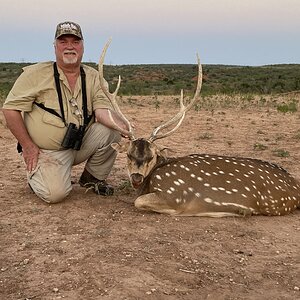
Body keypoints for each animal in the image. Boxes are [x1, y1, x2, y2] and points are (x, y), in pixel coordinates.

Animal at [98, 41, 300, 217]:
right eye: (128, 154)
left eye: (152, 156)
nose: (136, 178)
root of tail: (296, 186)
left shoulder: (174, 195)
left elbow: (138, 201)